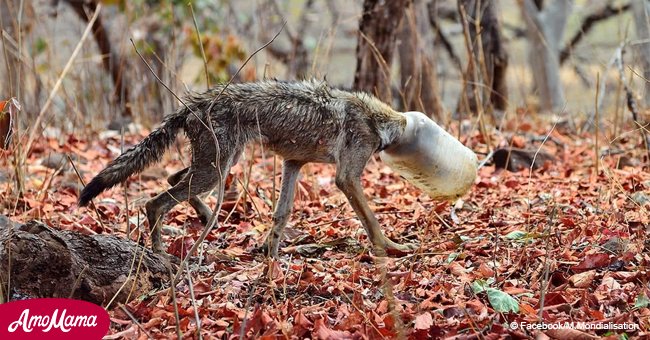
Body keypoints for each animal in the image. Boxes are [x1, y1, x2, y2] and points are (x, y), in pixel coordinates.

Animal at [78, 78, 476, 256]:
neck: (375, 120)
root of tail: (192, 104)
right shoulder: (346, 178)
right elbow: (372, 221)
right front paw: (390, 247)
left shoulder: (292, 164)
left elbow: (282, 214)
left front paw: (271, 251)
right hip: (215, 170)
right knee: (154, 202)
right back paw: (161, 253)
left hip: (218, 168)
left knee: (173, 181)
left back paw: (206, 217)